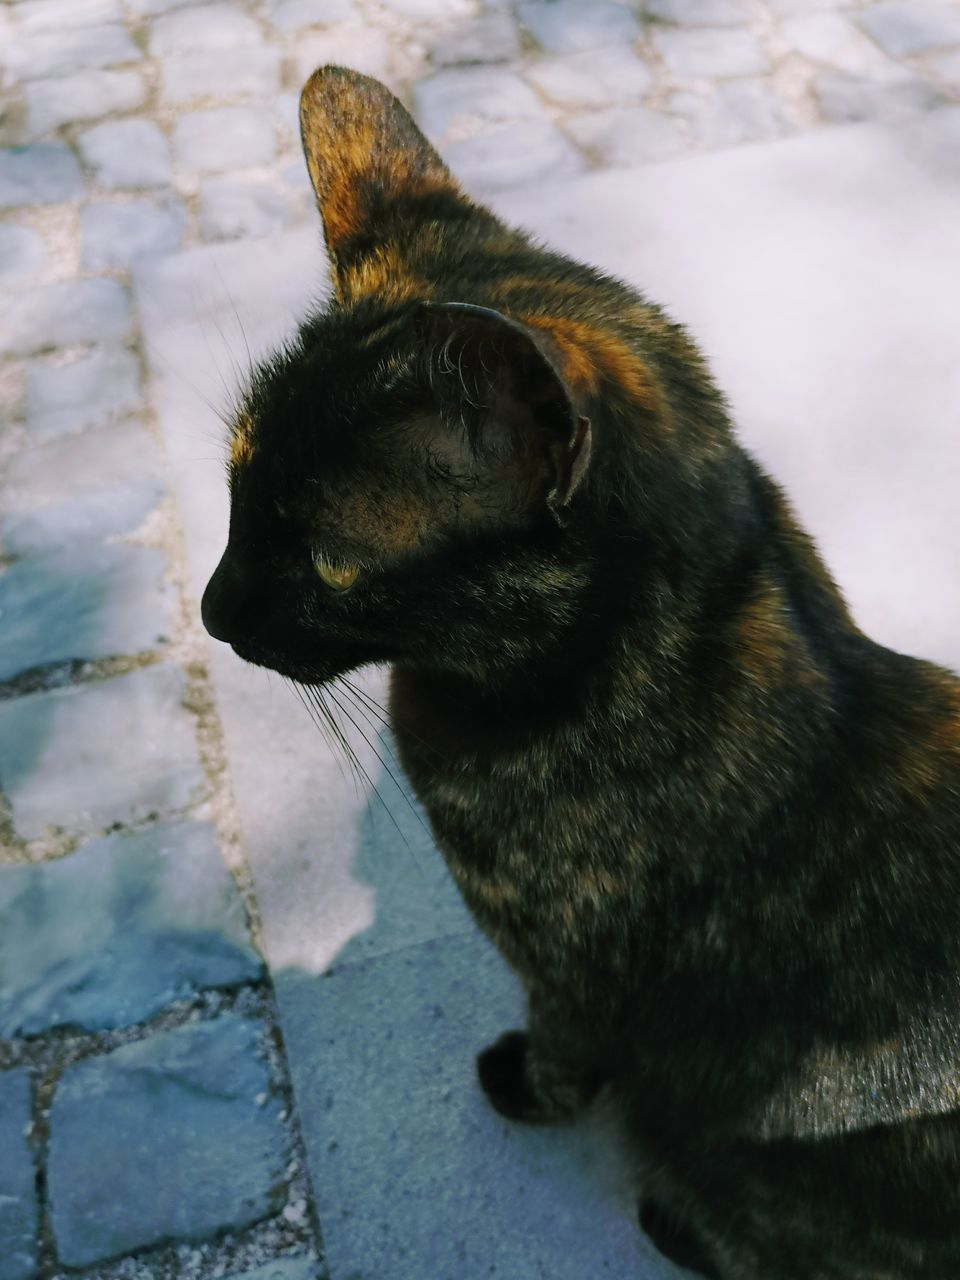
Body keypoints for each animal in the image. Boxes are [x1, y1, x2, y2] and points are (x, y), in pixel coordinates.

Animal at [199, 67, 960, 1280]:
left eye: (324, 556)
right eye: (232, 491)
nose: (213, 611)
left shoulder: (566, 970)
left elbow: (565, 1045)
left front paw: (525, 1084)